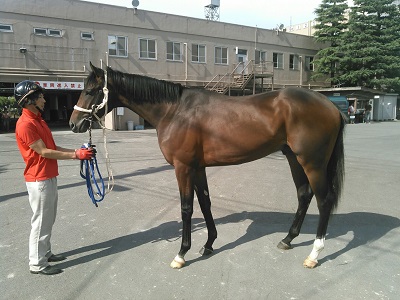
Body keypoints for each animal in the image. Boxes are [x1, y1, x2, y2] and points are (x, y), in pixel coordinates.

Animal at [70, 63, 346, 270]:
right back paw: (288, 239)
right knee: (304, 195)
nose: (74, 124)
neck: (175, 110)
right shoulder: (198, 168)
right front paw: (209, 244)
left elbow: (186, 208)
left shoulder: (183, 168)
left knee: (324, 200)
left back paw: (314, 254)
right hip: (293, 158)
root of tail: (330, 105)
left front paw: (181, 254)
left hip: (312, 163)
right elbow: (205, 203)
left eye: (92, 90)